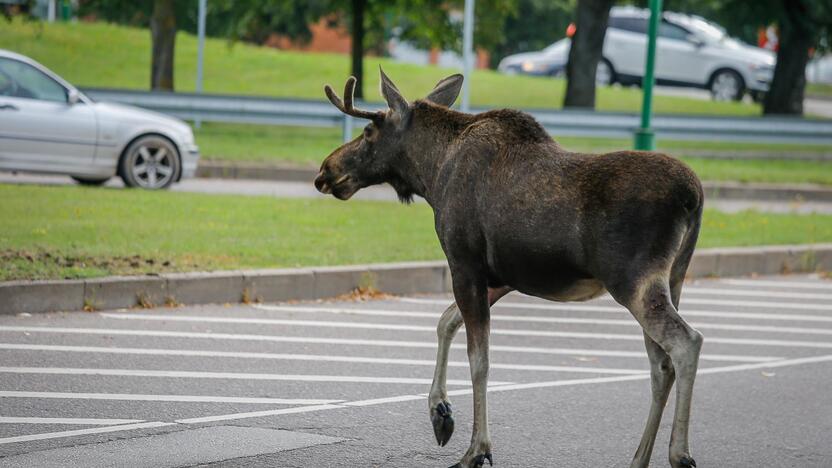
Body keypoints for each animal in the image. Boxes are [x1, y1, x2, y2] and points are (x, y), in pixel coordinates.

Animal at [316, 69, 704, 468]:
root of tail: (694, 197)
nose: (326, 170)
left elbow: (479, 360)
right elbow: (446, 321)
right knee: (660, 364)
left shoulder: (464, 262)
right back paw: (639, 459)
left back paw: (680, 453)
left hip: (634, 281)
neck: (432, 175)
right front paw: (440, 412)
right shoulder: (500, 277)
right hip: (673, 278)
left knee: (685, 343)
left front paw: (476, 450)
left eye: (368, 131)